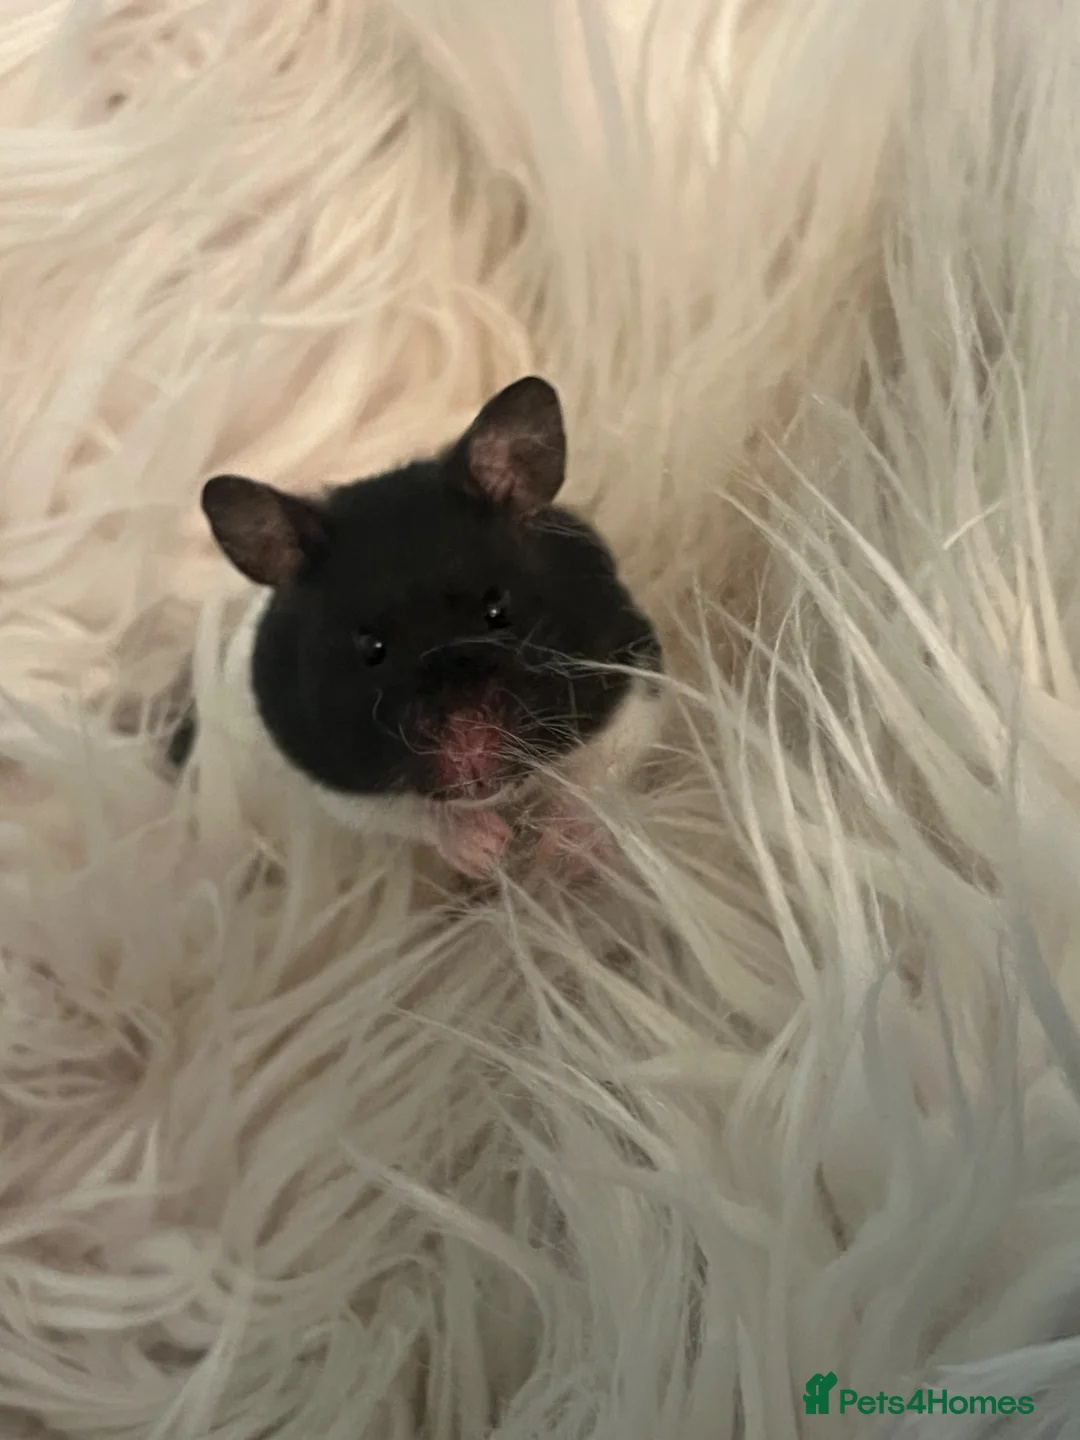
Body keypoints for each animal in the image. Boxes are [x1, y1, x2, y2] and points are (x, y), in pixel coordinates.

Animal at [186, 377, 664, 877]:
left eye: (498, 610)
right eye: (371, 648)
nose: (470, 758)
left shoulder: (632, 679)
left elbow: (597, 776)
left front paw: (561, 857)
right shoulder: (338, 778)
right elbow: (417, 816)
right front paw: (489, 851)